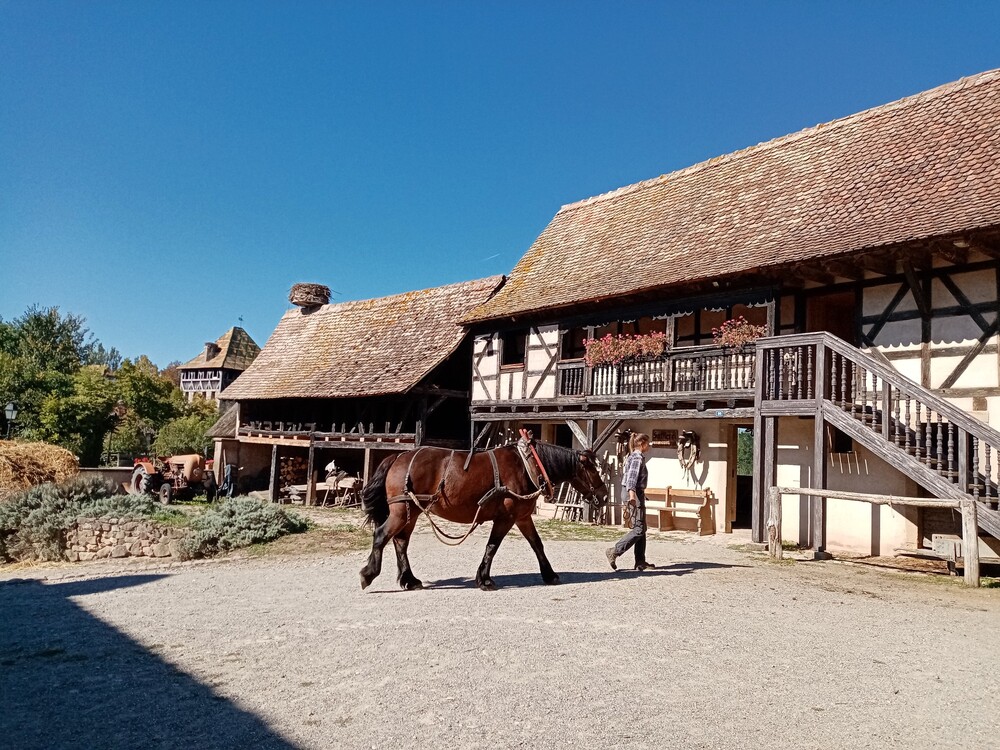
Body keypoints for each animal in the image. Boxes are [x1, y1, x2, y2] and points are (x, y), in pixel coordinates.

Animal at [360, 440, 608, 592]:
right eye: (592, 469)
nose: (604, 496)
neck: (527, 465)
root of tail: (399, 456)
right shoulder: (506, 517)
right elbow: (492, 546)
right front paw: (485, 579)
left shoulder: (522, 517)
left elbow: (537, 544)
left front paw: (549, 574)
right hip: (402, 512)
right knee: (382, 535)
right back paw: (369, 574)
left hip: (410, 512)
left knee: (401, 542)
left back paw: (410, 580)